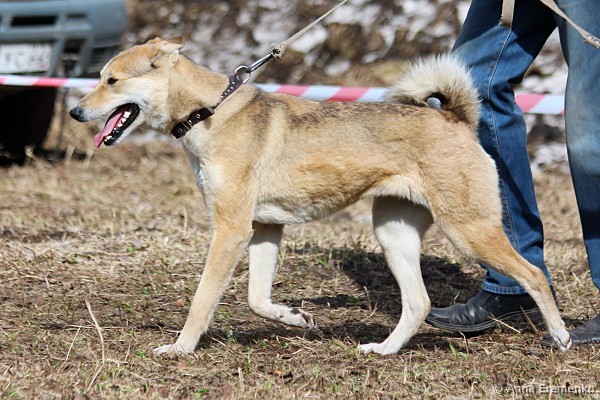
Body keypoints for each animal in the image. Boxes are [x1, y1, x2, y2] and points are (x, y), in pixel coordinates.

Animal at [69, 37, 571, 355]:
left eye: (111, 81)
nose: (74, 111)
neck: (207, 111)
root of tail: (456, 121)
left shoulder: (231, 229)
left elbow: (201, 300)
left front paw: (180, 348)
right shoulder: (264, 229)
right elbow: (257, 299)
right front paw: (294, 318)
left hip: (469, 230)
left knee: (534, 275)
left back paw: (562, 339)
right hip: (394, 233)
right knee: (418, 303)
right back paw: (383, 350)